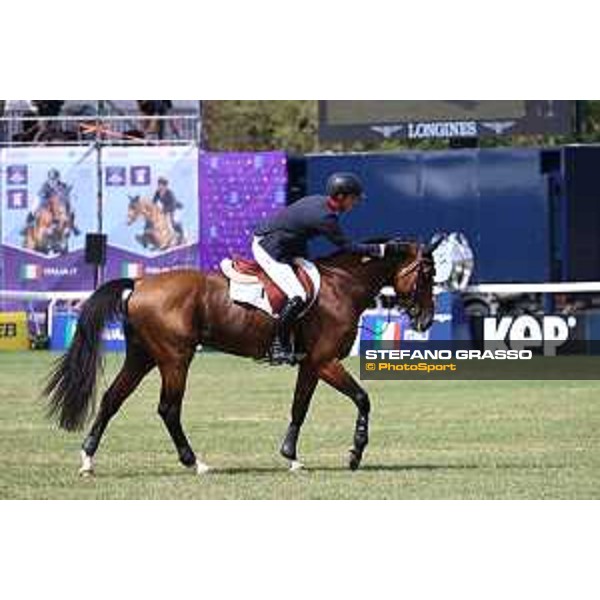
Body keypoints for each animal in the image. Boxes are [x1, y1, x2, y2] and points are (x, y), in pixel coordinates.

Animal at [44, 237, 438, 476]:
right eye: (427, 274)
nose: (425, 320)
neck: (342, 285)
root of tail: (140, 283)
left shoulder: (311, 365)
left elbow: (299, 407)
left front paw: (291, 457)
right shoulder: (326, 362)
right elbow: (362, 398)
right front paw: (355, 452)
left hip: (143, 357)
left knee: (112, 399)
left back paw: (88, 460)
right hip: (175, 359)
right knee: (168, 409)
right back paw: (196, 463)